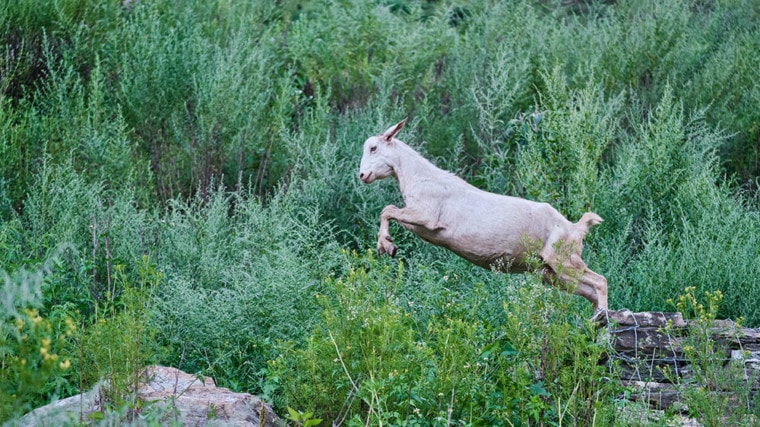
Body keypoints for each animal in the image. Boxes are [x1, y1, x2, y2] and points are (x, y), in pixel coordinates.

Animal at [360, 118, 608, 312]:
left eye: (373, 148)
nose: (363, 175)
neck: (417, 177)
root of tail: (576, 228)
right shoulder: (417, 225)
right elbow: (389, 211)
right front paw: (387, 245)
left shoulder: (425, 216)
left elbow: (387, 210)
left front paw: (386, 245)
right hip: (550, 272)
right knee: (589, 291)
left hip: (563, 259)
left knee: (601, 281)